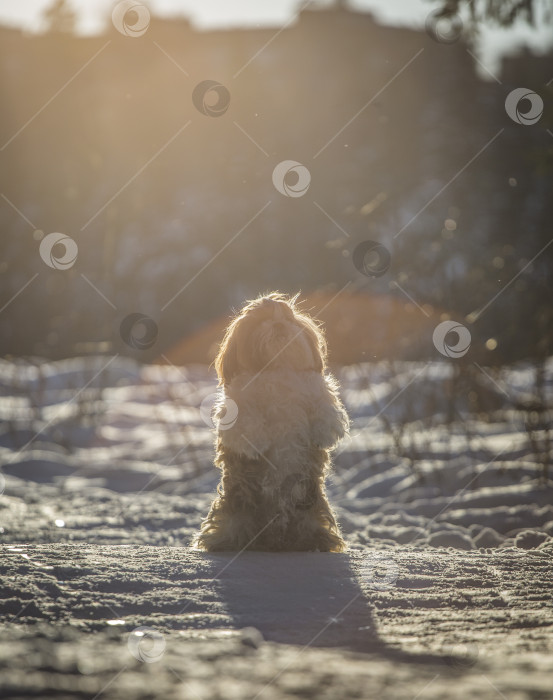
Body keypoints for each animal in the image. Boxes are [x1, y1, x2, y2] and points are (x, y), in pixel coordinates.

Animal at [195, 292, 350, 552]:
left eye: (287, 318)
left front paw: (322, 434)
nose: (278, 324)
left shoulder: (315, 389)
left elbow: (324, 405)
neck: (276, 367)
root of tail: (276, 539)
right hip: (234, 513)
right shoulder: (239, 402)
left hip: (313, 513)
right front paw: (255, 443)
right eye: (261, 320)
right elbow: (245, 420)